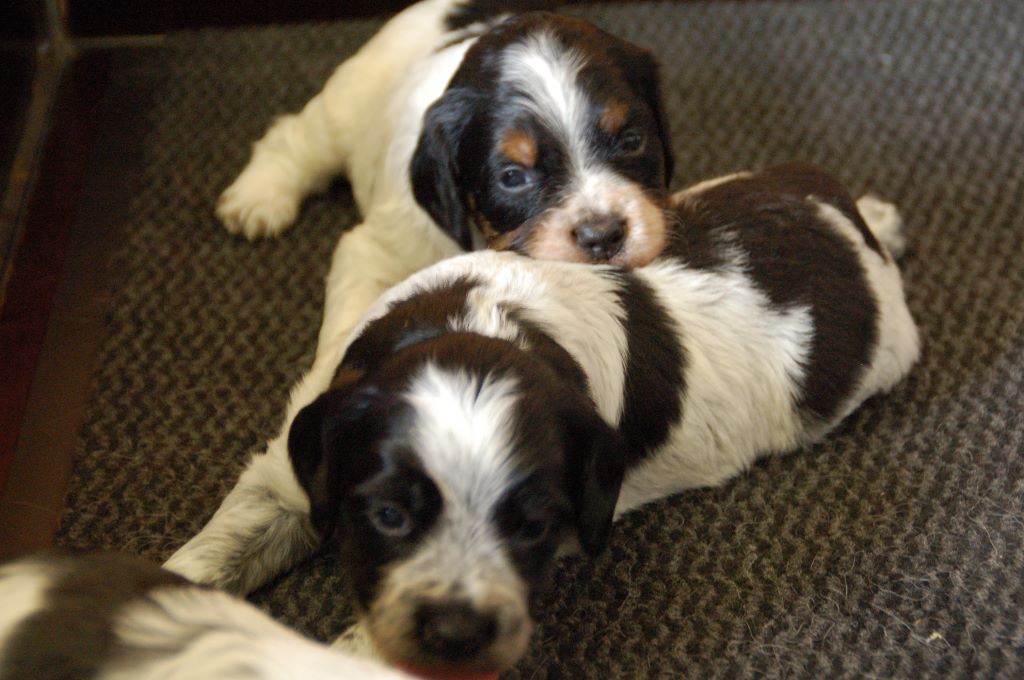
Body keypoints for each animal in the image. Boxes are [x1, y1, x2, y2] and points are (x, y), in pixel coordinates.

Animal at [216, 0, 675, 366]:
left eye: (632, 141)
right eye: (512, 177)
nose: (603, 236)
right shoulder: (373, 251)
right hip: (347, 107)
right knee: (296, 137)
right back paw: (258, 198)